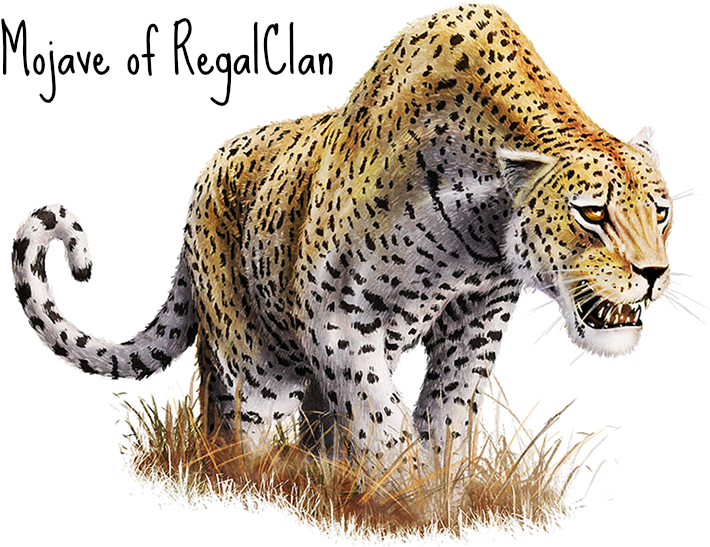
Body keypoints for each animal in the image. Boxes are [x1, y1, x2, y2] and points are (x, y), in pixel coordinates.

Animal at [12, 3, 672, 467]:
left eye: (662, 213)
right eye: (592, 214)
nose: (653, 273)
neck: (484, 234)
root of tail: (206, 175)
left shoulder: (476, 319)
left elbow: (449, 412)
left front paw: (442, 490)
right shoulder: (336, 314)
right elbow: (379, 413)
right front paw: (404, 493)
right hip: (254, 357)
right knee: (246, 424)